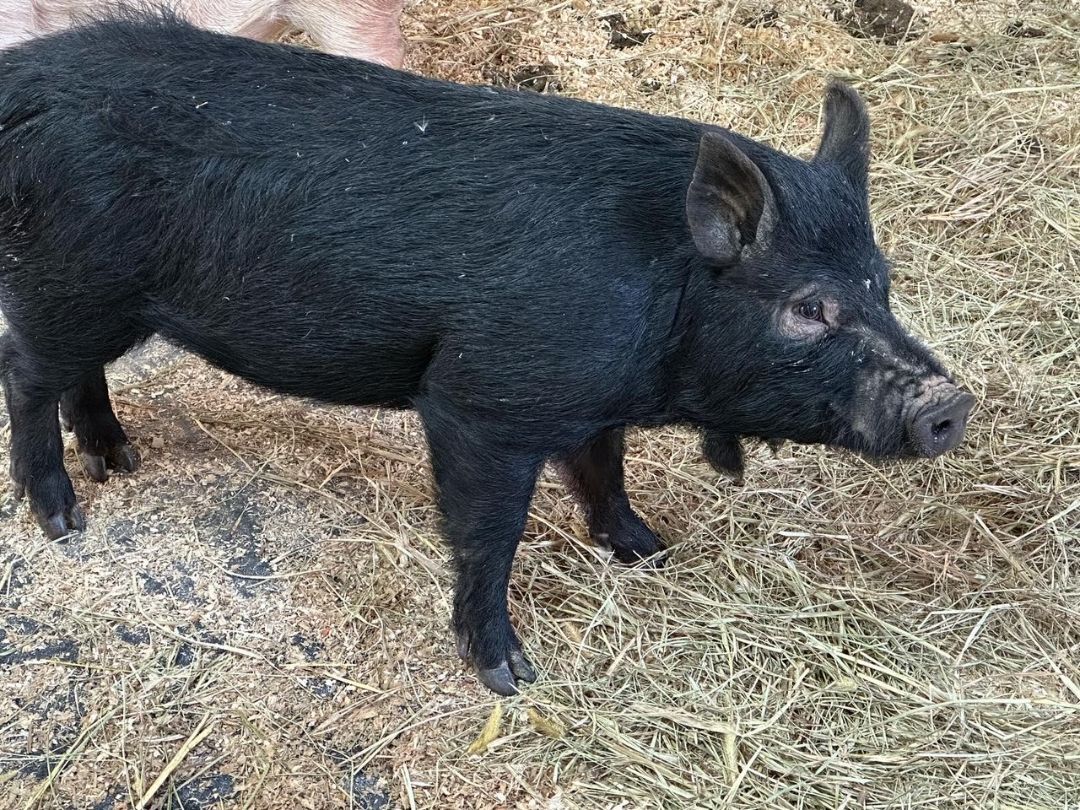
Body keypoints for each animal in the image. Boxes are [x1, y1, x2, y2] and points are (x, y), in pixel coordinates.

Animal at [0, 14, 975, 695]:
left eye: (883, 283)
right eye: (808, 308)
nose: (951, 404)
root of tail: (21, 83)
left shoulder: (591, 398)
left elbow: (604, 469)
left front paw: (650, 551)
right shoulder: (482, 400)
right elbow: (490, 533)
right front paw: (508, 675)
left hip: (99, 301)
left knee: (78, 374)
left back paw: (119, 460)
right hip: (68, 282)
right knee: (25, 372)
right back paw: (64, 518)